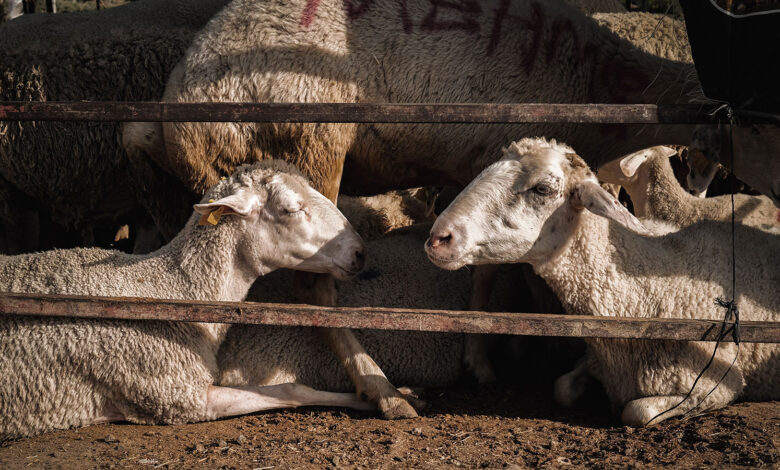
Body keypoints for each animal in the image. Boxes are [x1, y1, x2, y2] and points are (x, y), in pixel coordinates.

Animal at [0, 162, 372, 440]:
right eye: (290, 209)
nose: (359, 251)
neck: (172, 292)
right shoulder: (177, 395)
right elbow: (293, 390)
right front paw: (368, 398)